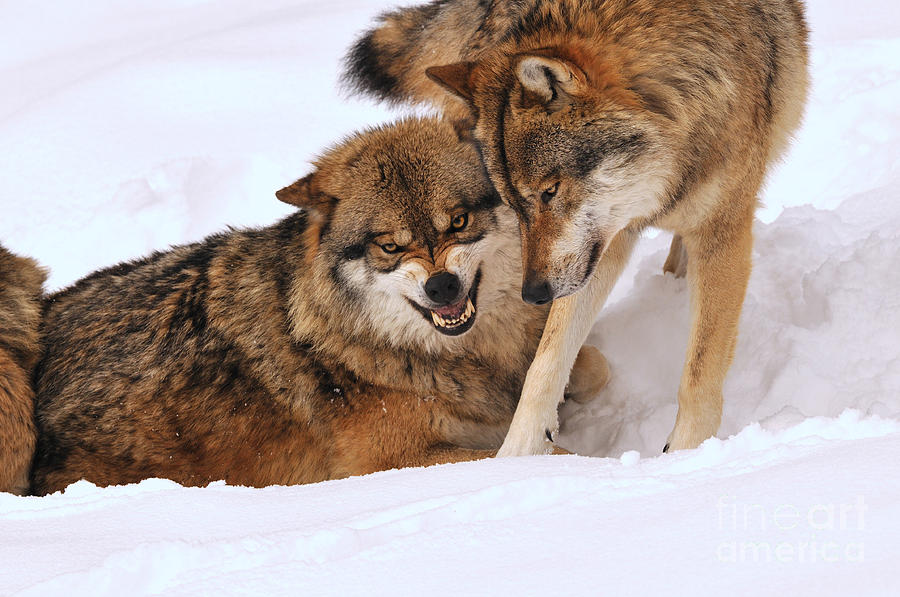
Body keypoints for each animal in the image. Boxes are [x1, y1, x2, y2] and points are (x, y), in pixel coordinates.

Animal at [28, 116, 608, 494]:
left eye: (458, 222)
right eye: (389, 246)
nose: (441, 287)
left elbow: (591, 368)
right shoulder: (389, 462)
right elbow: (545, 452)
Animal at [344, 0, 808, 454]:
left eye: (549, 191)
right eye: (513, 202)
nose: (533, 294)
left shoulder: (720, 231)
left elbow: (698, 373)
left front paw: (687, 456)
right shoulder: (600, 244)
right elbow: (544, 364)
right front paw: (513, 458)